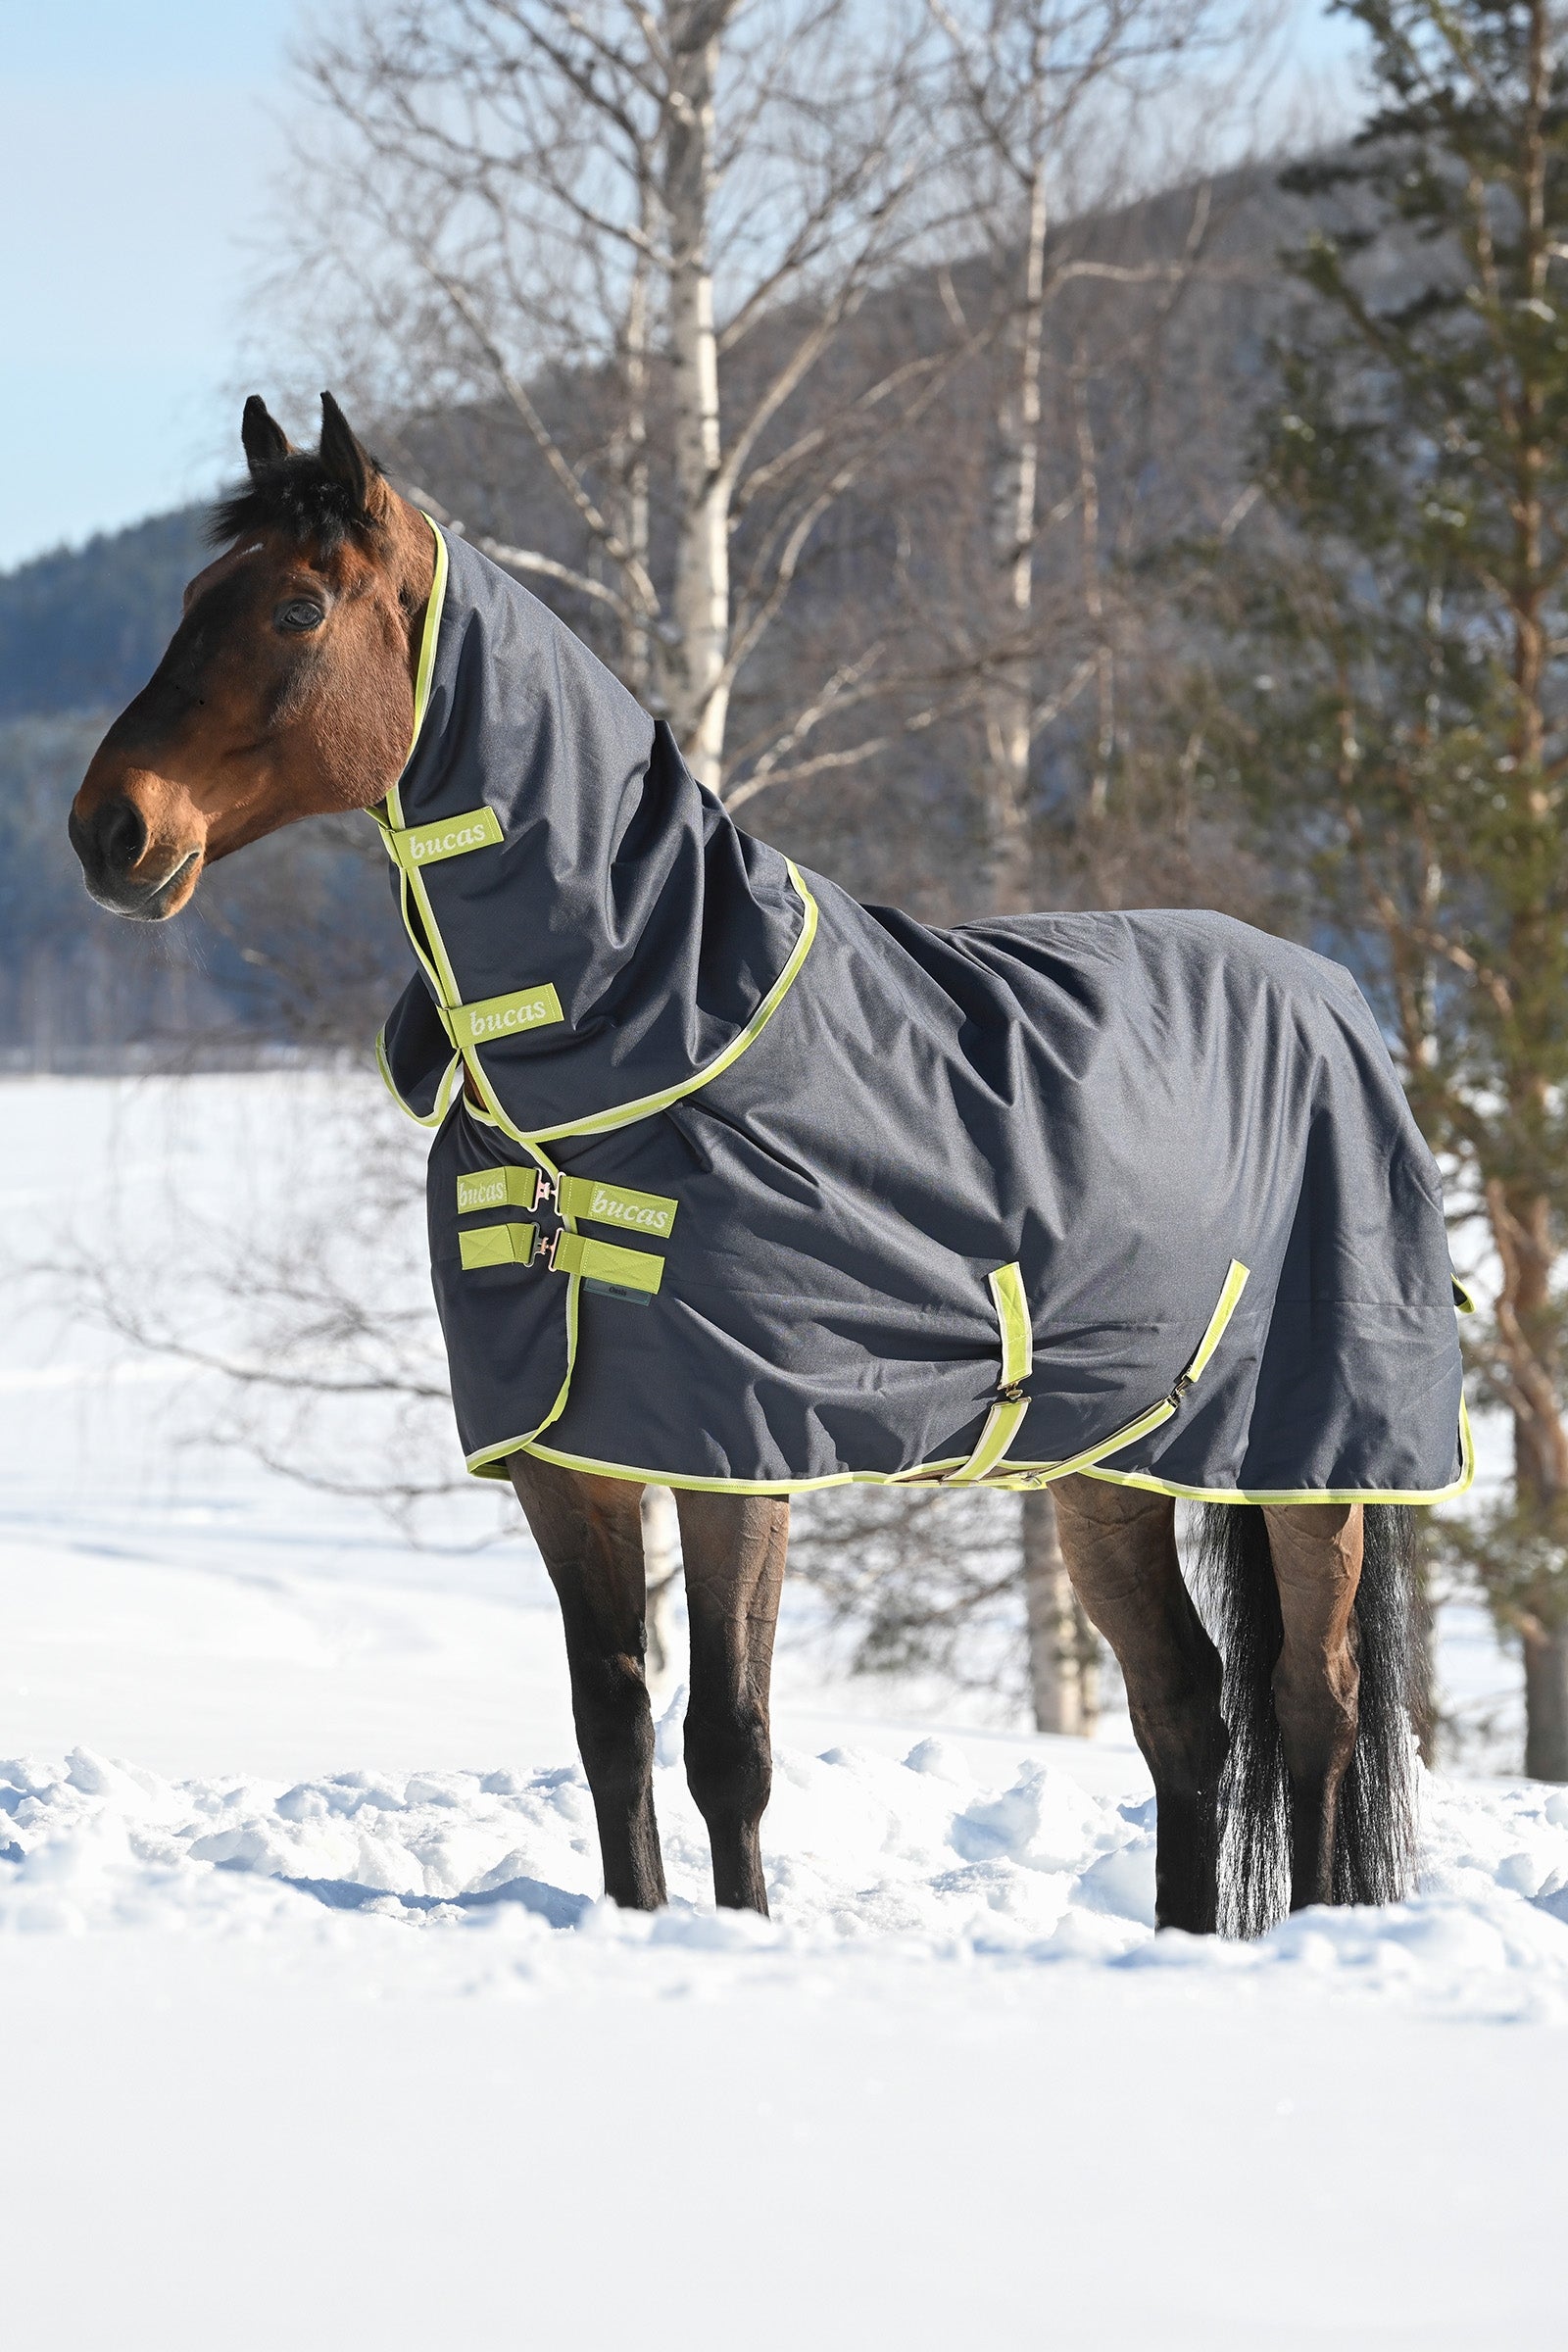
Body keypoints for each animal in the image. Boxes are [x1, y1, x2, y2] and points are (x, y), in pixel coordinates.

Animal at [69, 393, 1462, 1935]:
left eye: (297, 607)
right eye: (195, 595)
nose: (111, 831)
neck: (651, 1037)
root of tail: (1332, 997)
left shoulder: (739, 1455)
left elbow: (726, 1741)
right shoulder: (571, 1459)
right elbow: (610, 1723)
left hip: (1318, 1457)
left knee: (1317, 1705)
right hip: (1111, 1466)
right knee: (1186, 1711)